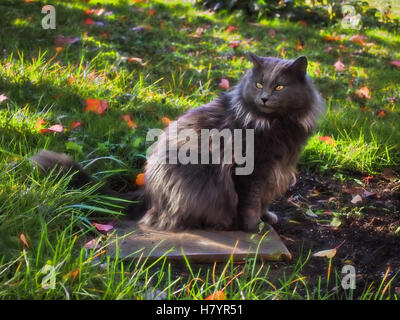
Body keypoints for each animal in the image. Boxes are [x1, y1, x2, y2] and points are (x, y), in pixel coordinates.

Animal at [32, 52, 324, 232]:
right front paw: (254, 228)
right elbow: (250, 203)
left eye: (279, 87)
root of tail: (147, 193)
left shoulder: (274, 169)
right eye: (260, 84)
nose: (264, 98)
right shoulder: (252, 169)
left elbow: (263, 201)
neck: (276, 124)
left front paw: (267, 218)